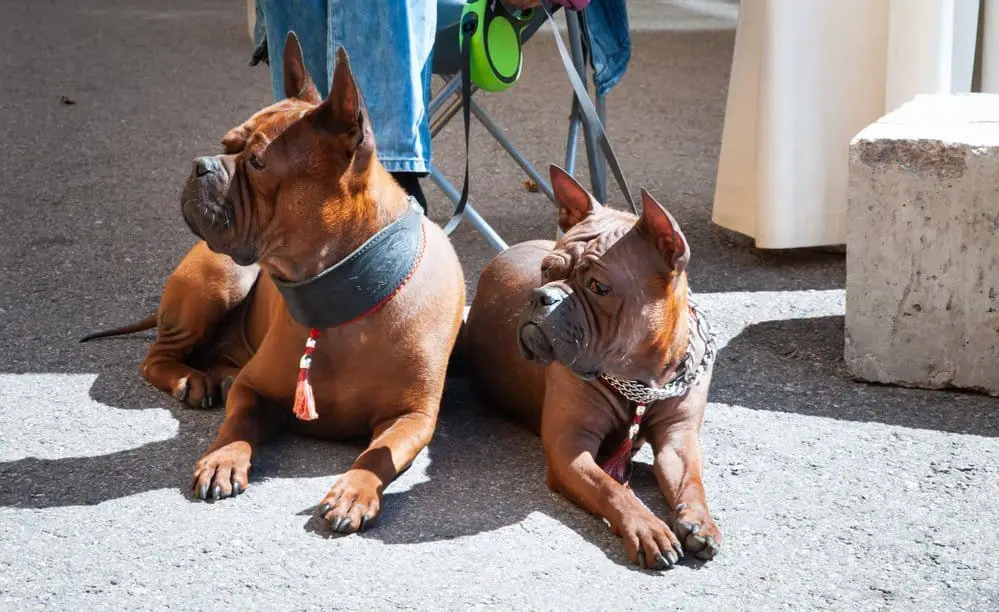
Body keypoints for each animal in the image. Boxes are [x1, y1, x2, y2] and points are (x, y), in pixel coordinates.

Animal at [80, 33, 466, 532]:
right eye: (227, 143)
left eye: (259, 162)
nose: (201, 164)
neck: (342, 296)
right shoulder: (255, 389)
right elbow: (237, 423)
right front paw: (222, 459)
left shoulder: (413, 417)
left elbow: (378, 455)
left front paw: (354, 491)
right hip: (219, 280)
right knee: (157, 357)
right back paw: (192, 380)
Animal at [464, 166, 724, 568]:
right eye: (546, 270)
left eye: (599, 286)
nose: (542, 296)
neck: (642, 376)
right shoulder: (570, 447)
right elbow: (612, 488)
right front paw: (647, 527)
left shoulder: (678, 438)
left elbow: (691, 481)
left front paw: (700, 520)